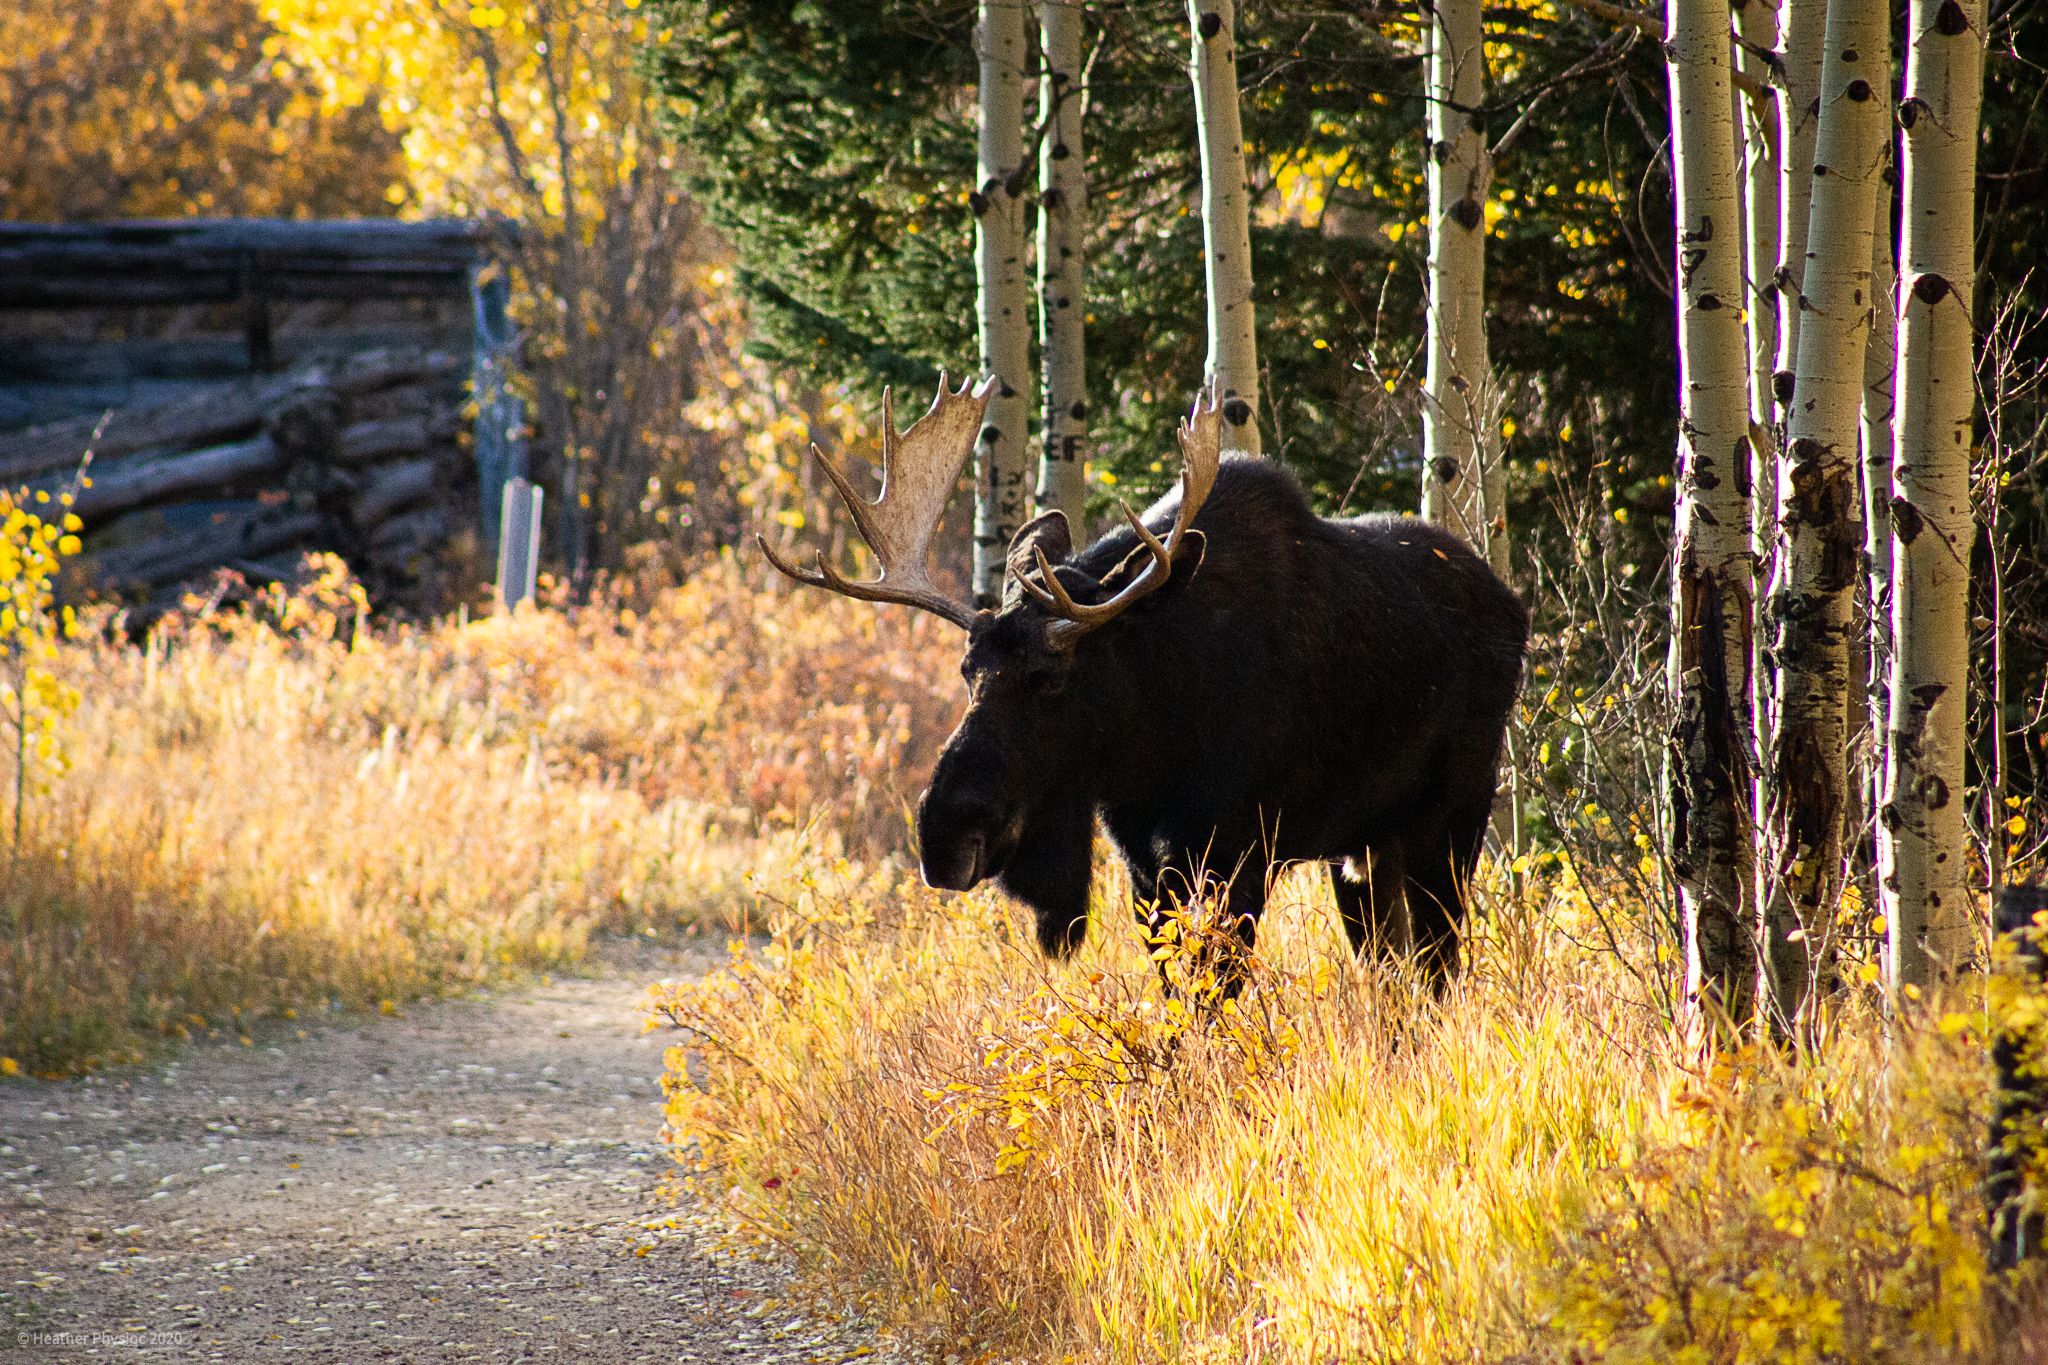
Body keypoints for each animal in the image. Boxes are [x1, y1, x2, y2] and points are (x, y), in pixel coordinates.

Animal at [761, 378, 1528, 984]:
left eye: (1049, 676)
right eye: (967, 670)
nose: (943, 827)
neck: (1149, 745)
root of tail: (1514, 608)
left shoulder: (1239, 851)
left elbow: (1215, 995)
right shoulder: (1144, 864)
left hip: (1451, 818)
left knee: (1438, 969)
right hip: (1364, 848)